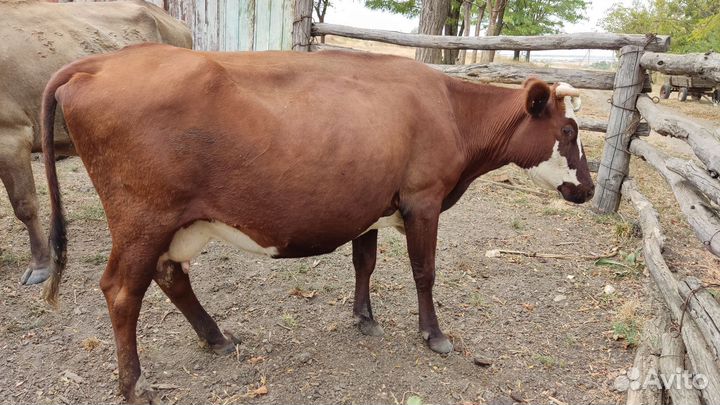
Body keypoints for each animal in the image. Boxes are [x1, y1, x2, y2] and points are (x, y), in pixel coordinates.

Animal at [37, 44, 594, 403]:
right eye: (568, 130)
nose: (588, 189)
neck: (450, 111)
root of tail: (102, 61)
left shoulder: (370, 203)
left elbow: (365, 262)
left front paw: (364, 317)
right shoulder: (423, 200)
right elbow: (424, 271)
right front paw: (433, 335)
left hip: (171, 223)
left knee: (170, 275)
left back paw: (217, 338)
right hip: (142, 218)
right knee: (121, 290)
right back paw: (134, 384)